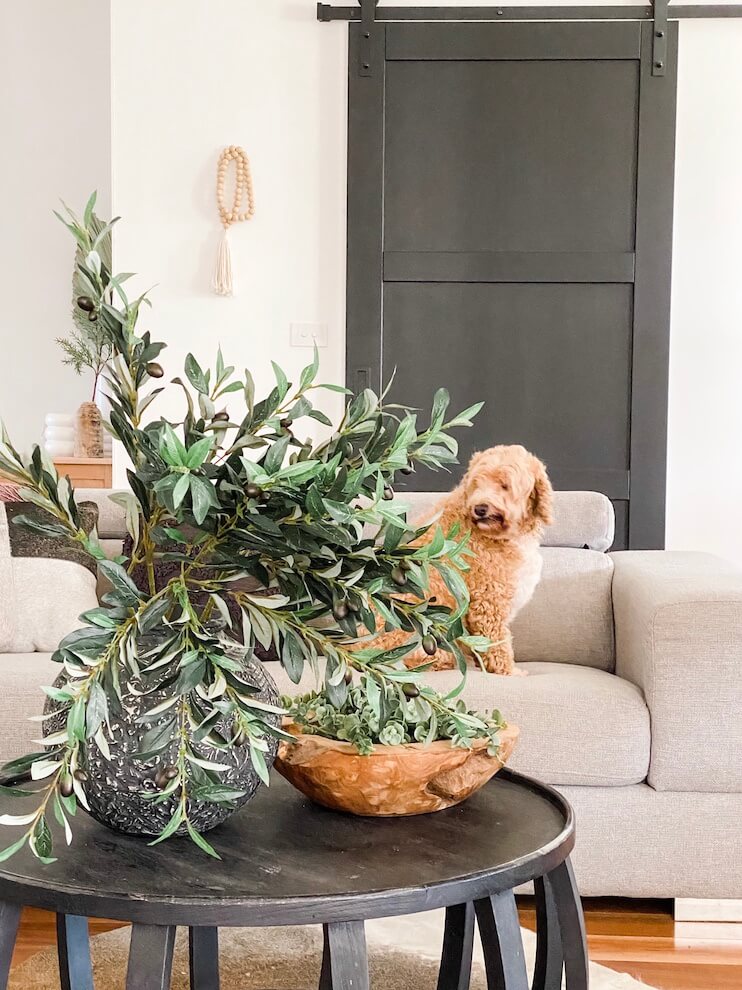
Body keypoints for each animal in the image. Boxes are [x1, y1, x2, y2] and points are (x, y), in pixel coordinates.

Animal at [370, 446, 556, 680]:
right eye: (478, 483)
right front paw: (509, 672)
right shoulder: (489, 601)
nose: (480, 508)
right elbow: (498, 644)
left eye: (504, 485)